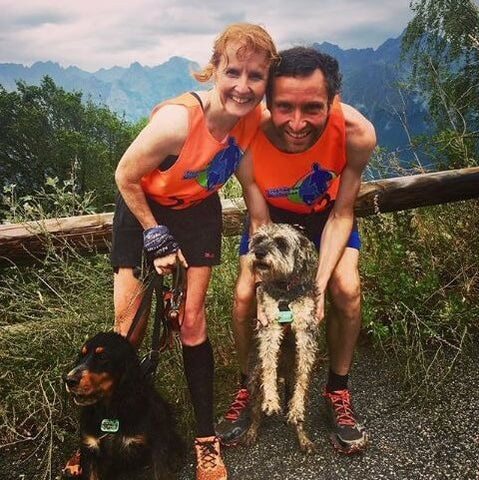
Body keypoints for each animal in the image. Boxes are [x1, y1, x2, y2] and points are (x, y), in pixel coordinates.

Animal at [63, 332, 184, 480]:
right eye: (81, 356)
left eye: (102, 357)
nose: (69, 380)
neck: (110, 411)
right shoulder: (90, 450)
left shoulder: (157, 447)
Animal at [246, 223, 320, 452]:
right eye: (258, 239)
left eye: (281, 242)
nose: (259, 253)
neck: (284, 288)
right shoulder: (270, 327)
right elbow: (269, 365)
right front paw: (271, 400)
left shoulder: (305, 331)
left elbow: (303, 376)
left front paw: (296, 409)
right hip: (254, 381)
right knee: (255, 412)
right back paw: (251, 432)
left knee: (298, 418)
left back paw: (303, 438)